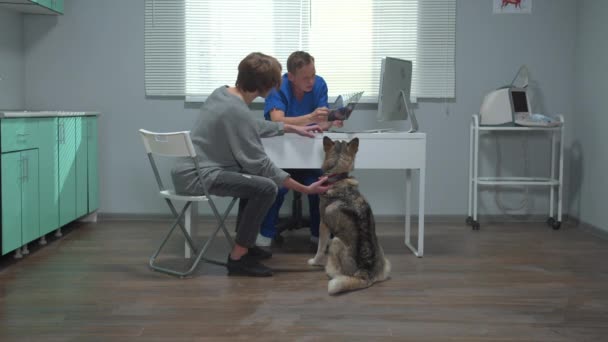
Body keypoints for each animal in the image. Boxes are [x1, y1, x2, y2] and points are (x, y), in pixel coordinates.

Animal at [306, 138, 392, 296]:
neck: (338, 177)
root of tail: (365, 274)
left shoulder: (323, 224)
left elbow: (320, 248)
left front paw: (314, 261)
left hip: (335, 241)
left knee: (335, 273)